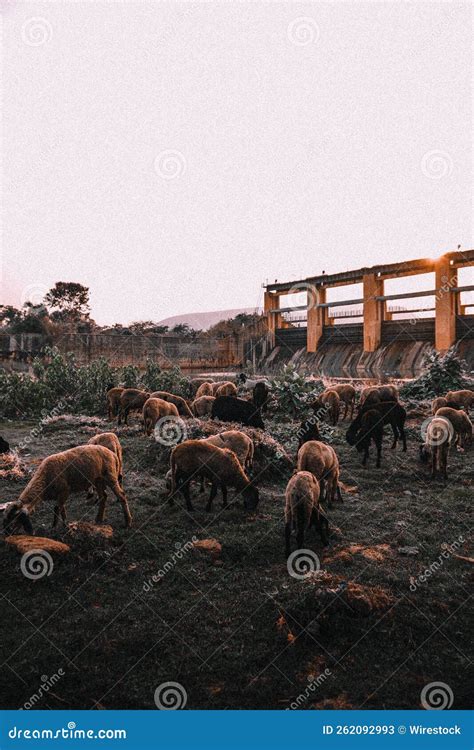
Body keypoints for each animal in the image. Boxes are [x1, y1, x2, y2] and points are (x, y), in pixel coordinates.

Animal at [2, 446, 132, 536]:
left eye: (15, 518)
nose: (6, 533)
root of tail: (113, 454)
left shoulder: (64, 491)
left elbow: (57, 509)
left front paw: (54, 528)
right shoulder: (61, 495)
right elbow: (62, 509)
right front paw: (64, 526)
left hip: (110, 476)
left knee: (121, 495)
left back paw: (128, 523)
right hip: (98, 480)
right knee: (103, 496)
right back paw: (98, 519)